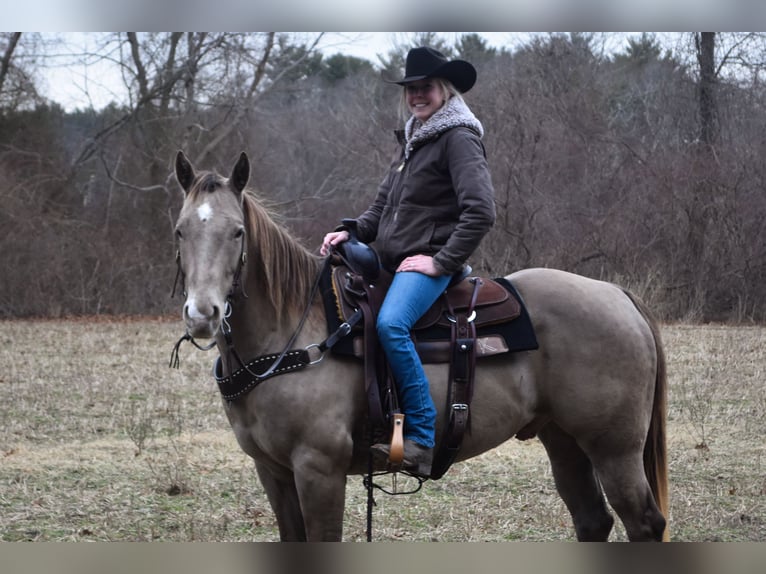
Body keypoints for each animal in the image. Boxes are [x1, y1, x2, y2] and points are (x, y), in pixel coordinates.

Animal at [171, 150, 669, 542]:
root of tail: (617, 294)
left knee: (644, 523)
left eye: (237, 231)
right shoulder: (273, 472)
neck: (293, 332)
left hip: (614, 448)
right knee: (592, 521)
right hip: (563, 440)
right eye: (180, 230)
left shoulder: (318, 469)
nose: (203, 314)